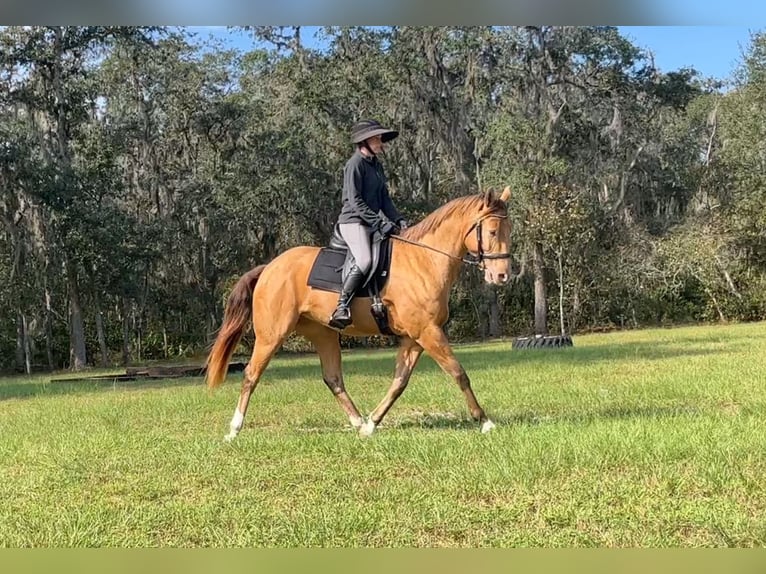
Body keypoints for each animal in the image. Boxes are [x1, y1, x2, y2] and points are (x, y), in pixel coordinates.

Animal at [207, 186, 512, 440]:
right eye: (492, 231)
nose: (502, 276)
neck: (424, 261)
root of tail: (269, 267)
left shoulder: (415, 337)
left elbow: (399, 382)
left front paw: (372, 423)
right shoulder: (428, 332)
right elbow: (458, 372)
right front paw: (484, 421)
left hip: (324, 334)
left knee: (333, 378)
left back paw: (357, 422)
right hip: (271, 336)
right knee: (251, 374)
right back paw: (234, 429)